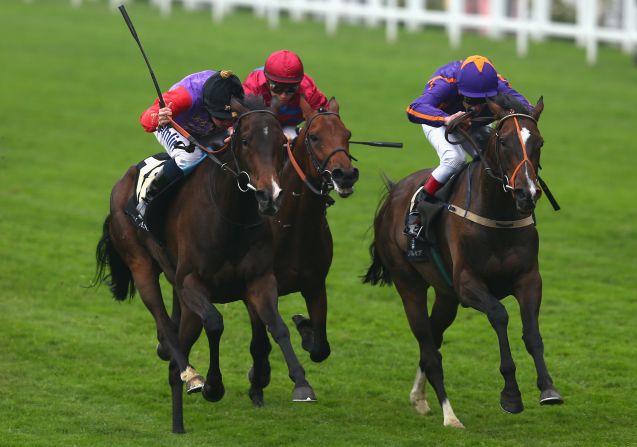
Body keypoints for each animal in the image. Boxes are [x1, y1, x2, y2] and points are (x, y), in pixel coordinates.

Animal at [94, 95, 314, 434]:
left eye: (282, 143)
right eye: (245, 140)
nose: (270, 196)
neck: (231, 217)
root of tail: (124, 180)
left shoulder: (260, 280)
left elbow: (277, 326)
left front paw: (301, 383)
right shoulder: (192, 283)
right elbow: (215, 322)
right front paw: (212, 385)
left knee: (174, 337)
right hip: (140, 264)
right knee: (164, 324)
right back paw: (191, 376)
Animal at [362, 96, 560, 428]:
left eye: (540, 142)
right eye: (504, 142)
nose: (527, 193)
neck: (498, 214)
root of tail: (393, 195)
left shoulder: (529, 279)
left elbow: (532, 333)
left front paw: (548, 389)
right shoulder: (468, 284)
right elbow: (500, 315)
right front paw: (511, 395)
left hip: (446, 295)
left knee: (433, 338)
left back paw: (420, 398)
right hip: (409, 284)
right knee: (429, 348)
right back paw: (449, 415)